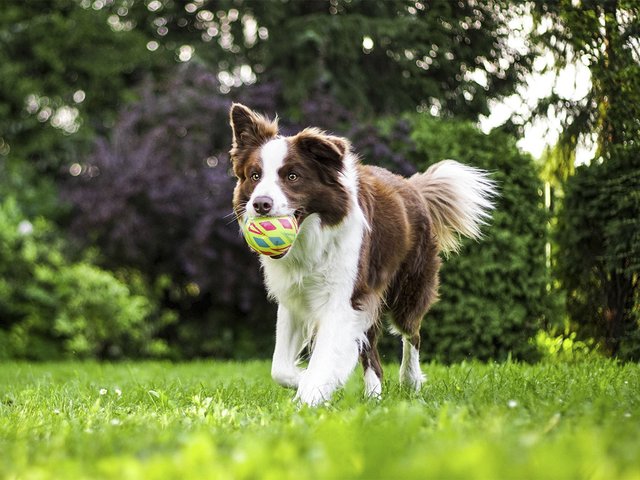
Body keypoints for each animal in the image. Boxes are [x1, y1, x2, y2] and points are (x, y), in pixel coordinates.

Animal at [228, 104, 498, 404]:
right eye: (255, 176)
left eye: (292, 176)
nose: (260, 204)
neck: (311, 239)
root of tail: (413, 186)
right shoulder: (294, 297)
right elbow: (280, 368)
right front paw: (307, 381)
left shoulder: (344, 298)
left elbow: (324, 356)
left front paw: (310, 395)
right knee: (372, 353)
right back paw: (373, 396)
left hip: (408, 288)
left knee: (412, 333)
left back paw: (410, 380)